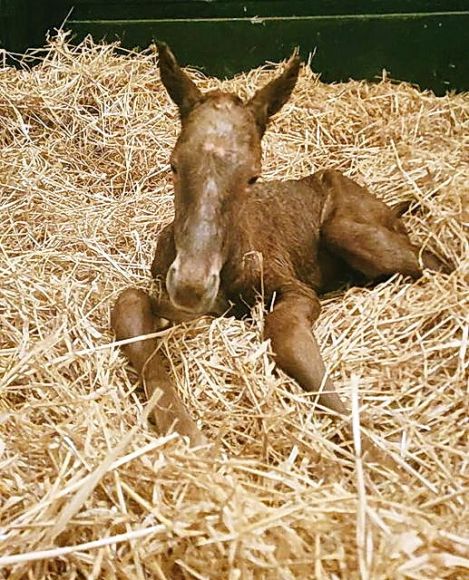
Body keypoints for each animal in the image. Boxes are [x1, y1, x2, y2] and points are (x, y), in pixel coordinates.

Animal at [111, 45, 444, 448]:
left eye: (252, 176)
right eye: (173, 165)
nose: (191, 286)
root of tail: (388, 205)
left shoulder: (293, 287)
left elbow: (282, 331)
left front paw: (373, 452)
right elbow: (129, 305)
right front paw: (189, 433)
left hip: (345, 229)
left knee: (434, 259)